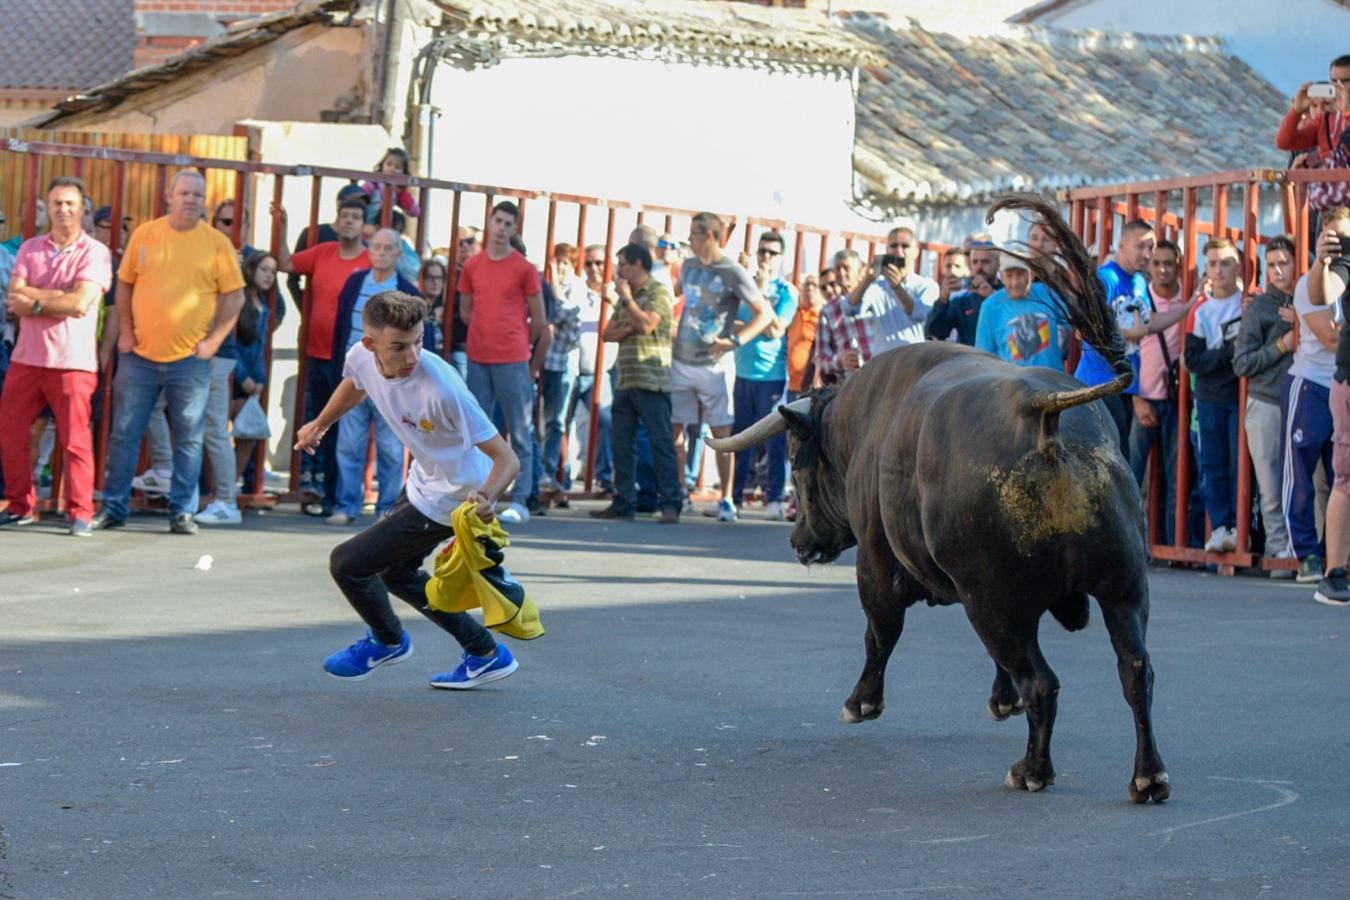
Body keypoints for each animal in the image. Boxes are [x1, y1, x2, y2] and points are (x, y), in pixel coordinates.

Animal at [707, 342, 1171, 804]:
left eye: (795, 461)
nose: (798, 542)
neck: (864, 423)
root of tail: (1043, 413)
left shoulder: (876, 565)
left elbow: (880, 635)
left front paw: (861, 703)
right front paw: (1002, 700)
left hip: (993, 602)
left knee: (1042, 683)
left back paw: (1032, 771)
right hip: (1123, 592)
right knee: (1135, 671)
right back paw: (1148, 776)